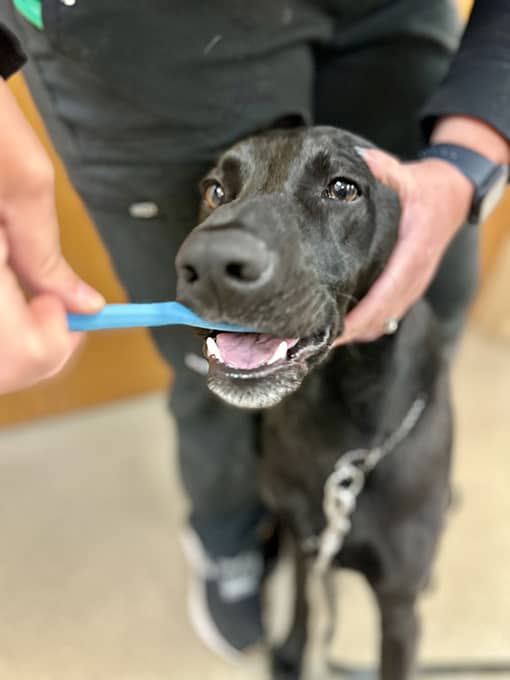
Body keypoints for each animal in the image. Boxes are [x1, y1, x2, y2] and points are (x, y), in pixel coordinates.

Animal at [175, 129, 450, 680]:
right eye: (215, 191)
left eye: (343, 188)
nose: (211, 264)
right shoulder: (307, 540)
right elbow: (303, 597)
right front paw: (292, 651)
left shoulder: (399, 611)